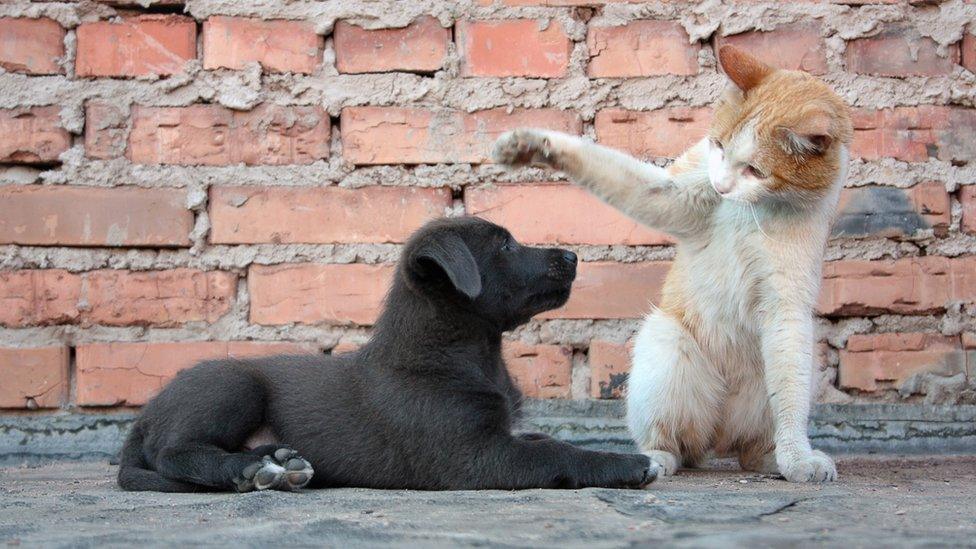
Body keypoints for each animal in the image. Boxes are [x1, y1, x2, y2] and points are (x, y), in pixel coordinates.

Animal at [120, 216, 656, 490]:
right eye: (504, 244)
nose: (572, 256)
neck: (459, 354)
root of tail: (144, 418)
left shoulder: (503, 434)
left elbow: (546, 441)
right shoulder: (474, 457)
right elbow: (555, 454)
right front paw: (628, 464)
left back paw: (280, 461)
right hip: (230, 384)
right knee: (172, 453)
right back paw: (250, 470)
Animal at [492, 45, 852, 482]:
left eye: (755, 170)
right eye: (718, 146)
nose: (721, 186)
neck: (753, 209)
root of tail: (719, 436)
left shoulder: (788, 309)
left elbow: (791, 401)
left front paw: (799, 458)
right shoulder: (676, 196)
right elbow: (609, 168)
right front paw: (530, 145)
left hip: (801, 355)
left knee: (753, 444)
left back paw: (771, 460)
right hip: (665, 343)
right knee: (676, 444)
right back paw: (654, 461)